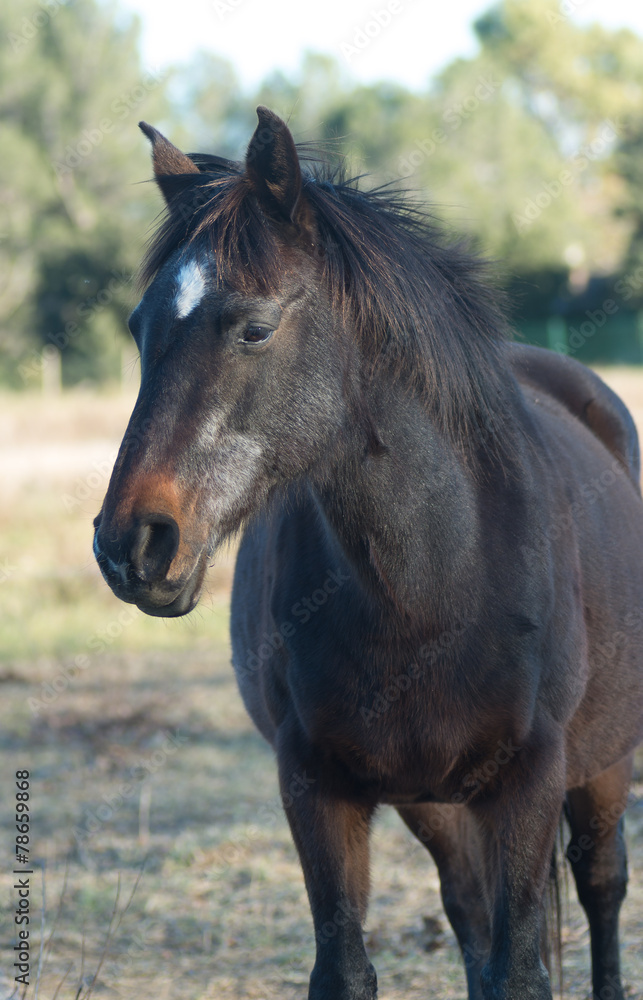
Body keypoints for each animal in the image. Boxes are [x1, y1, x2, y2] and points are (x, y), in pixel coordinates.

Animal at [93, 107, 643, 1000]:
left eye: (254, 327)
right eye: (141, 329)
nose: (131, 543)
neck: (428, 586)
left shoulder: (529, 782)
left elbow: (524, 966)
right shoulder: (316, 787)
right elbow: (352, 967)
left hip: (600, 766)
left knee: (600, 886)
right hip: (437, 803)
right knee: (472, 919)